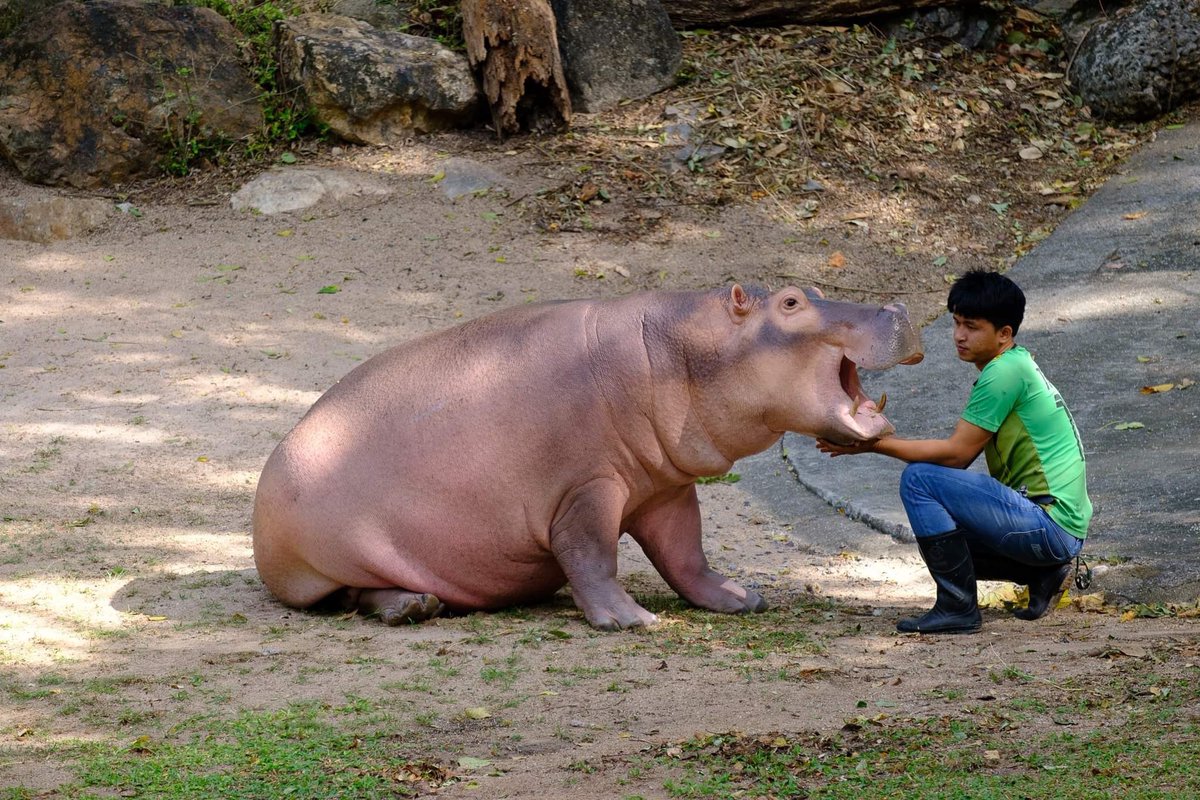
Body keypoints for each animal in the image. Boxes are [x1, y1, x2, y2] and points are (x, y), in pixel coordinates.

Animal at [252, 284, 923, 630]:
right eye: (789, 303)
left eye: (812, 289)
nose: (898, 307)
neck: (679, 347)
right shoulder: (585, 488)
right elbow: (592, 555)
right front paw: (632, 621)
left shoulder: (665, 489)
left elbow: (688, 557)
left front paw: (741, 597)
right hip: (331, 561)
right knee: (349, 597)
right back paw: (410, 608)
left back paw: (417, 604)